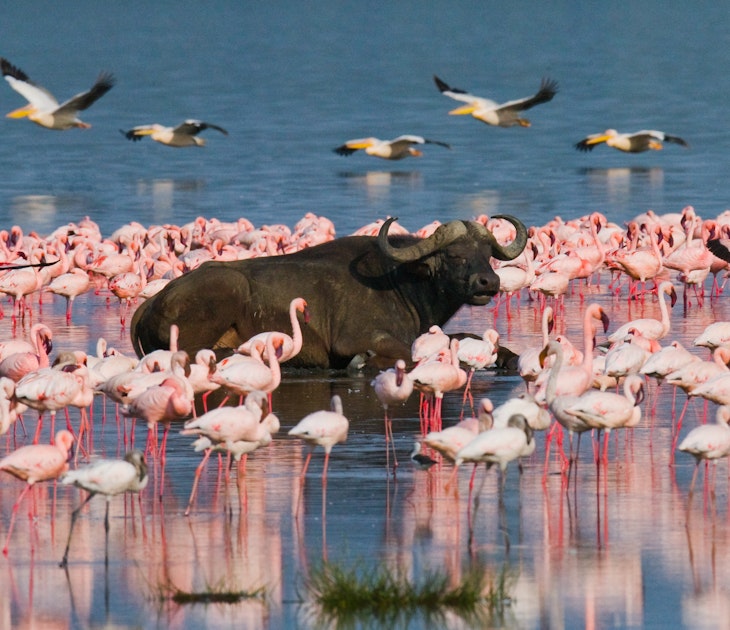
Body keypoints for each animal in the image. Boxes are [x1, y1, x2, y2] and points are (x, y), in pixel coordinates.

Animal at [130, 216, 527, 369]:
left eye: (487, 253)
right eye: (454, 255)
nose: (488, 283)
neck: (401, 283)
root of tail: (152, 302)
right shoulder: (358, 339)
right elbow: (408, 354)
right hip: (227, 289)